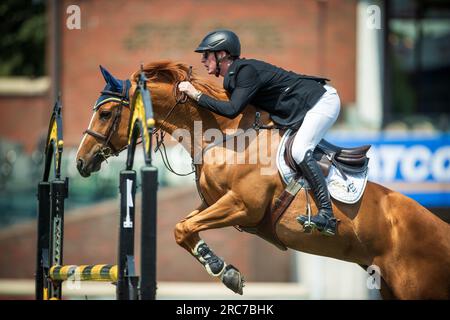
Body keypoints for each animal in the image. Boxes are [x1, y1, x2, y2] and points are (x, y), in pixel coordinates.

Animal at [76, 60, 450, 300]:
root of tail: (440, 227)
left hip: (418, 287)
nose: (80, 162)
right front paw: (223, 269)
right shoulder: (214, 204)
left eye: (106, 113)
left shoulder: (243, 206)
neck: (224, 138)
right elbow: (183, 227)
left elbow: (183, 228)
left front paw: (222, 269)